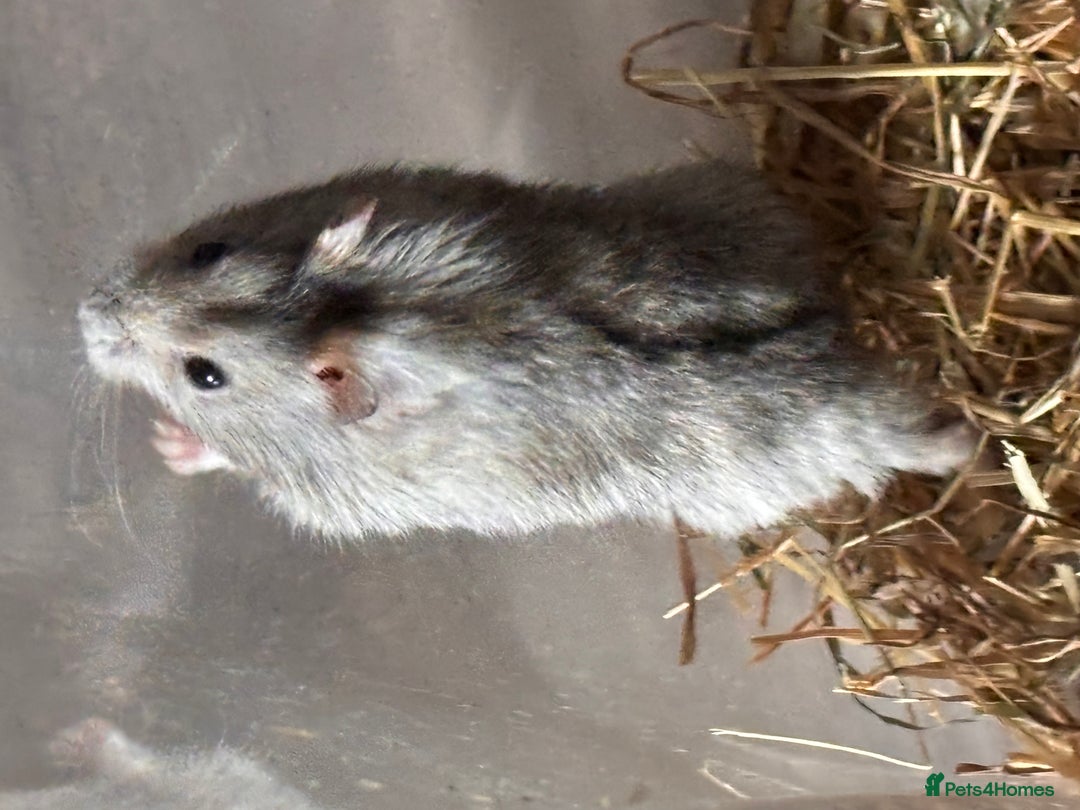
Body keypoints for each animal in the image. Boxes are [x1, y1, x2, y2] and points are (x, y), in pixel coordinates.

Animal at [78, 161, 973, 541]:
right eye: (209, 250)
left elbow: (231, 457)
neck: (364, 312)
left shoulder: (333, 495)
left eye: (205, 375)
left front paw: (170, 444)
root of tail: (842, 351)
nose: (83, 316)